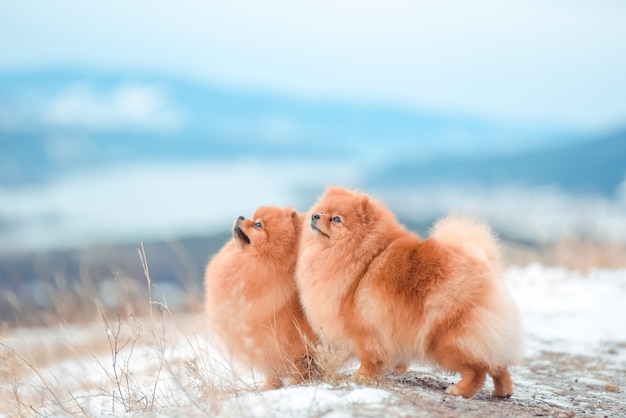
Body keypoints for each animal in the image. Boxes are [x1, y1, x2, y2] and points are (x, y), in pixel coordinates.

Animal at [205, 206, 316, 388]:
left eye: (258, 224)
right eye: (251, 217)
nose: (241, 216)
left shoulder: (285, 336)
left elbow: (297, 360)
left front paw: (297, 381)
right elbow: (270, 369)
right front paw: (269, 386)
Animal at [294, 187, 520, 398]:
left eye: (336, 219)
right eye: (320, 210)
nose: (314, 216)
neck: (363, 257)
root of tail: (481, 263)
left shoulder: (366, 328)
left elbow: (368, 357)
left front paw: (361, 377)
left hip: (447, 340)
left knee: (478, 369)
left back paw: (460, 390)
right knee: (498, 365)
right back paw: (503, 391)